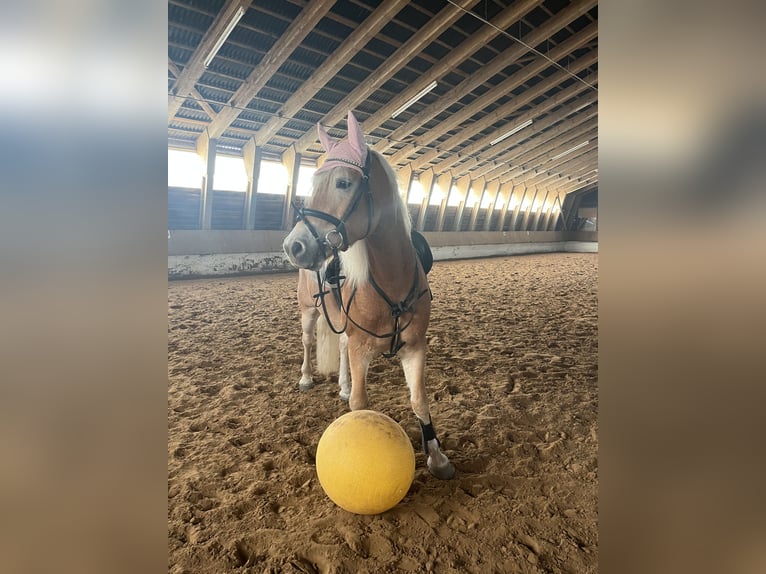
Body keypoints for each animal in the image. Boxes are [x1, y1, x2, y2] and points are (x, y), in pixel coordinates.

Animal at [286, 112, 456, 482]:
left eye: (343, 183)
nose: (294, 246)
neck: (391, 280)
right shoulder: (361, 347)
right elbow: (361, 405)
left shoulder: (415, 347)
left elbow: (419, 400)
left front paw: (437, 457)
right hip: (308, 310)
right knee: (306, 341)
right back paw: (305, 377)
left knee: (341, 347)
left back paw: (343, 384)